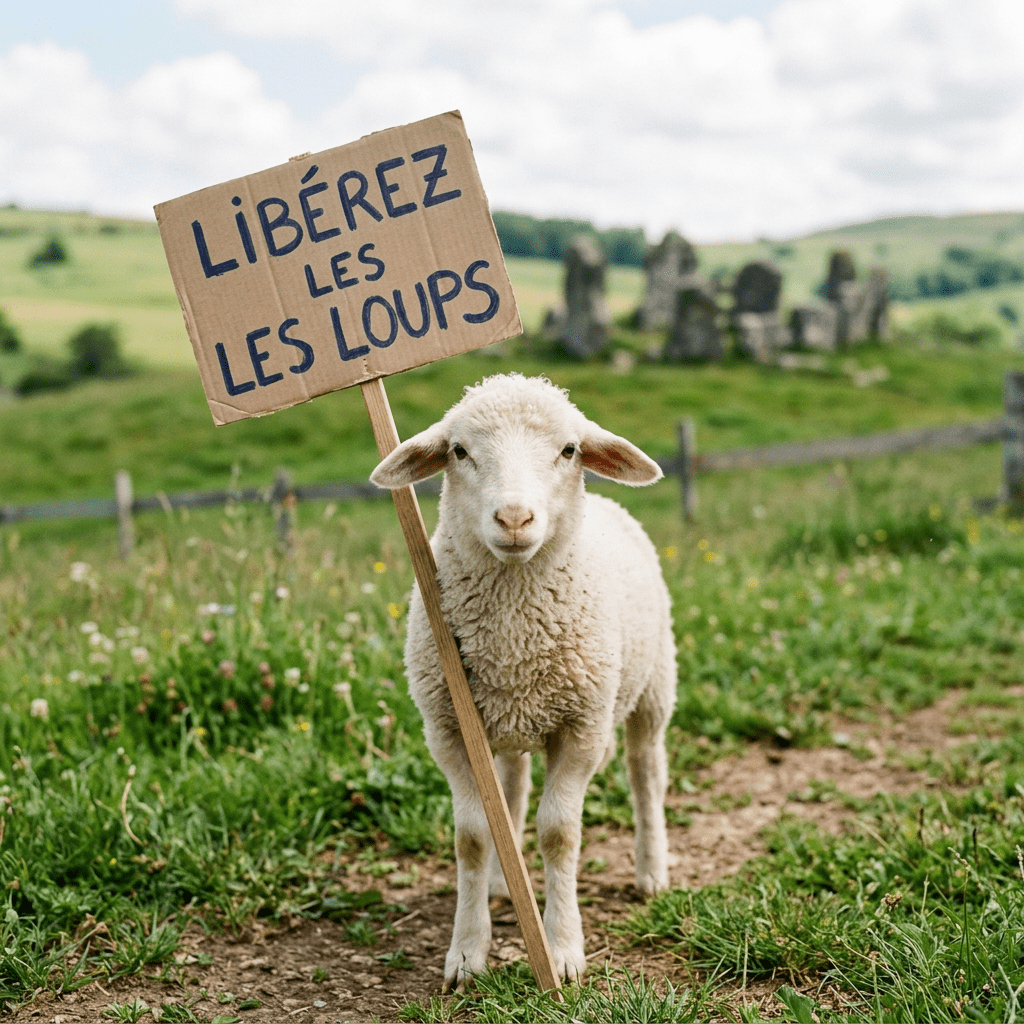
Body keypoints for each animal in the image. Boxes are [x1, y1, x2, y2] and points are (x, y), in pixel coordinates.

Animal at [370, 373, 676, 989]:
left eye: (569, 450)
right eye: (459, 451)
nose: (513, 520)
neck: (514, 639)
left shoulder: (583, 729)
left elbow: (560, 833)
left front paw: (561, 951)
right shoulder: (448, 730)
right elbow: (472, 836)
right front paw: (467, 953)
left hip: (653, 686)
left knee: (646, 772)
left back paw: (652, 869)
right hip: (506, 720)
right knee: (510, 787)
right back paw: (499, 883)